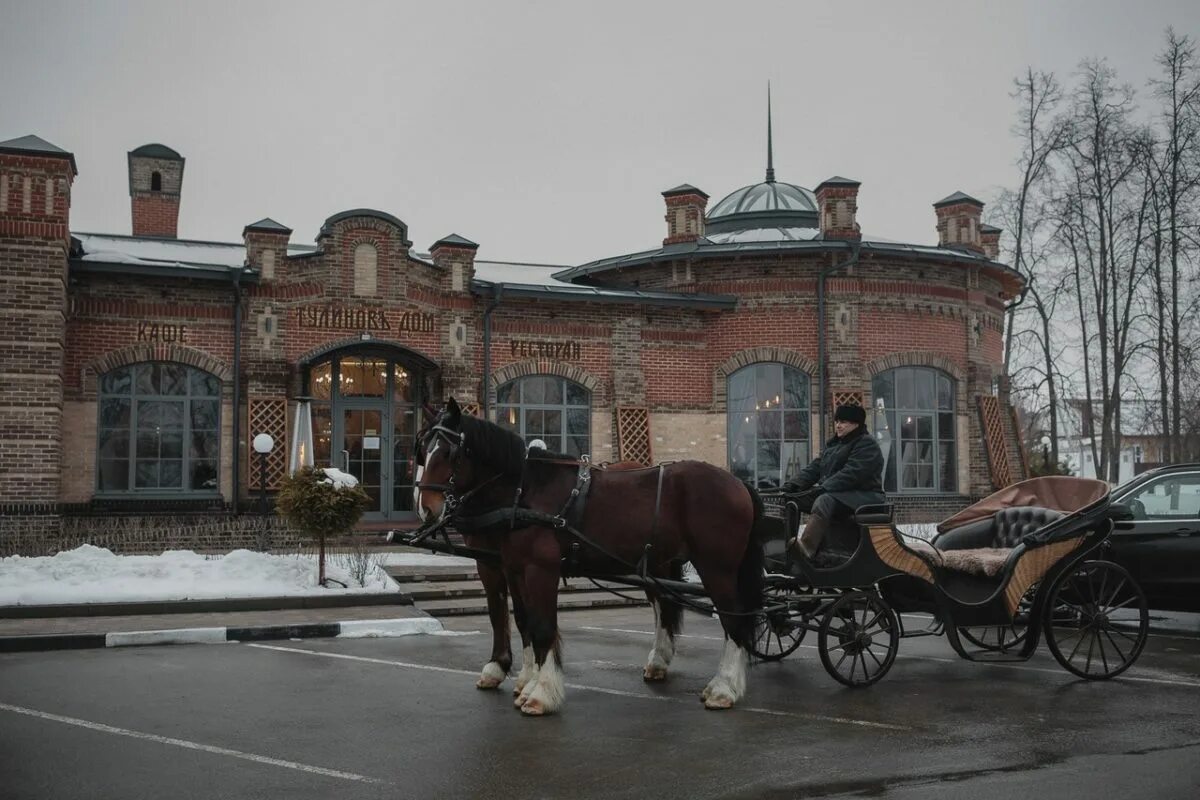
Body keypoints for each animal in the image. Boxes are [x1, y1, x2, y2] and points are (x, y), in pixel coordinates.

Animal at [417, 398, 763, 714]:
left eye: (449, 452)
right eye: (423, 448)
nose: (427, 508)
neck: (525, 491)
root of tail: (738, 482)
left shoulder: (538, 568)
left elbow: (542, 627)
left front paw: (540, 692)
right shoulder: (514, 567)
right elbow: (524, 621)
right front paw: (525, 681)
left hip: (717, 568)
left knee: (733, 619)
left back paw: (724, 688)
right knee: (669, 606)